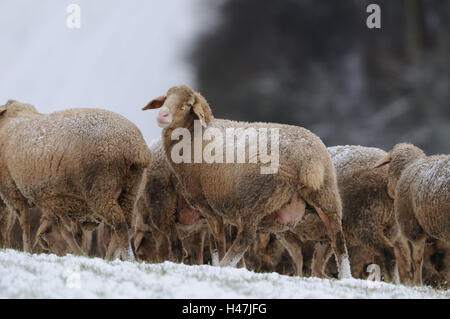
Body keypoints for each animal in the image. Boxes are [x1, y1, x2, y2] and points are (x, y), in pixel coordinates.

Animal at [0, 100, 151, 260]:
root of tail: (136, 148)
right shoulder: (52, 202)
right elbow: (65, 231)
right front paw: (79, 252)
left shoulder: (13, 191)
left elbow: (25, 225)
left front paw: (27, 251)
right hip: (131, 190)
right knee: (125, 225)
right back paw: (112, 258)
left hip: (101, 190)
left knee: (119, 225)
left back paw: (124, 258)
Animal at [142, 85, 350, 278]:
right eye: (165, 99)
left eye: (186, 105)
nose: (162, 115)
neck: (193, 135)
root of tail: (307, 158)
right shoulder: (228, 206)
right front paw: (239, 268)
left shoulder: (208, 204)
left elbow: (219, 240)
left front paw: (223, 264)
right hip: (327, 196)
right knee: (338, 240)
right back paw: (345, 277)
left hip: (255, 199)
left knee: (245, 239)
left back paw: (224, 265)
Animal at [372, 144, 450, 286]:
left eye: (390, 166)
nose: (388, 189)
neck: (406, 168)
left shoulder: (413, 228)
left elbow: (417, 259)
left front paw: (417, 283)